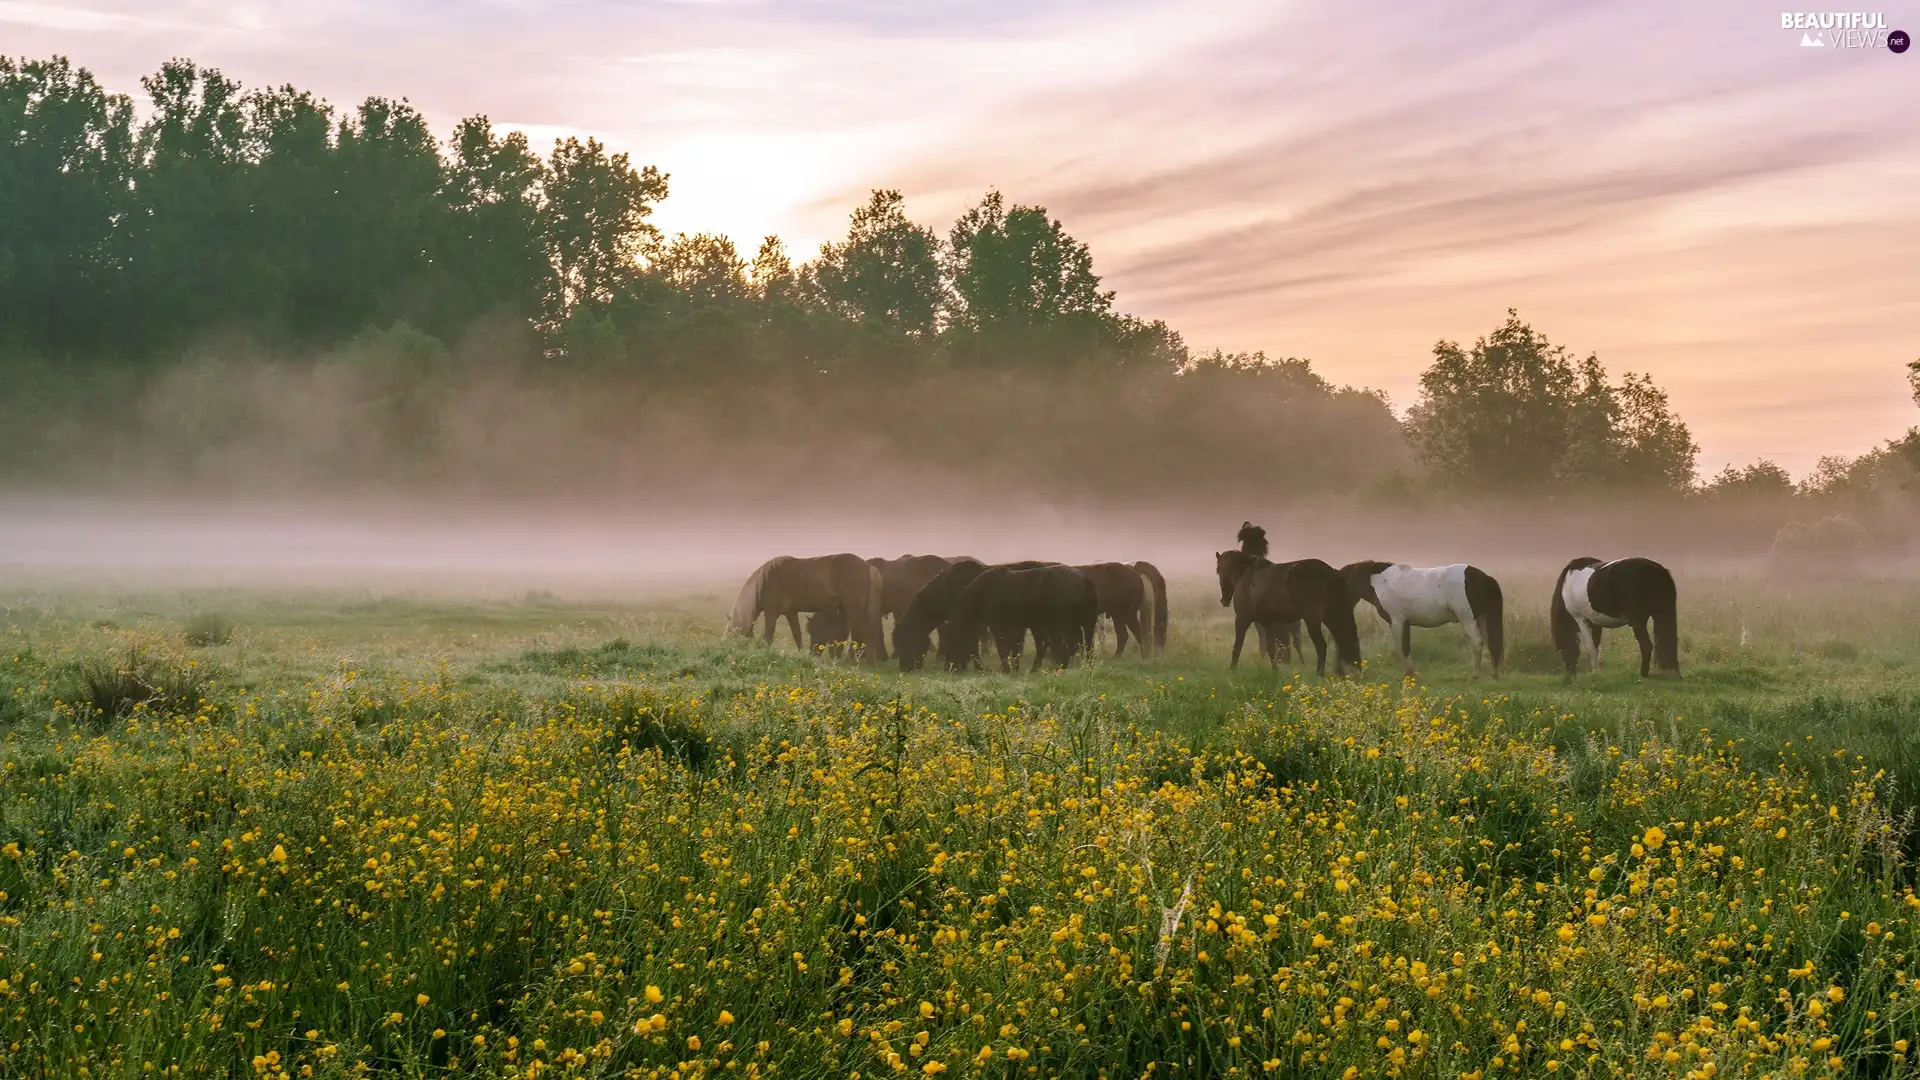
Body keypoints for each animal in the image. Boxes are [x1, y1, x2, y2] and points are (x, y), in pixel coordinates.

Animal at [725, 549, 890, 661]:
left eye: (731, 634)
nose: (726, 648)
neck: (764, 581)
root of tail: (868, 567)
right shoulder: (790, 612)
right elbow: (796, 634)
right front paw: (801, 654)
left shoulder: (771, 611)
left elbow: (769, 634)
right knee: (869, 631)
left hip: (854, 609)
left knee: (858, 631)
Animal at [940, 564, 1098, 672]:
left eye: (951, 640)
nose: (948, 666)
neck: (982, 593)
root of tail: (1085, 580)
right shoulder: (1017, 626)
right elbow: (1014, 647)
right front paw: (1014, 668)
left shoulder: (998, 626)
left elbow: (1003, 647)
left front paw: (1006, 669)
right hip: (1087, 623)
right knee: (1087, 646)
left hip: (1065, 624)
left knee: (1071, 645)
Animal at [1344, 564, 1505, 672]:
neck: (1381, 582)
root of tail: (1485, 578)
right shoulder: (1405, 622)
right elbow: (1405, 648)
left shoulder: (1396, 621)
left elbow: (1398, 650)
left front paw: (1410, 673)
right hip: (1482, 619)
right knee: (1490, 644)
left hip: (1468, 620)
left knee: (1477, 643)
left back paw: (1475, 675)